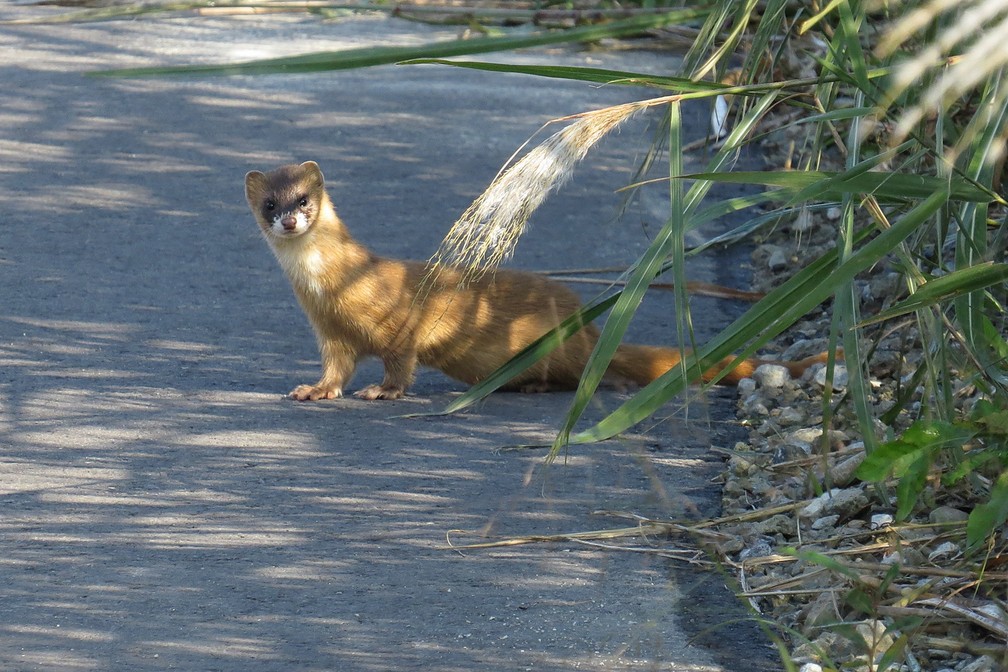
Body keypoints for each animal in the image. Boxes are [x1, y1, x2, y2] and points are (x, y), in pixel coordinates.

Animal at [243, 163, 834, 402]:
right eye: (270, 203)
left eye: (304, 199)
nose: (289, 219)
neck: (331, 290)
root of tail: (588, 331)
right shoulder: (329, 332)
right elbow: (336, 368)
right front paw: (315, 390)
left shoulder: (401, 319)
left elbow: (400, 361)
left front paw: (383, 390)